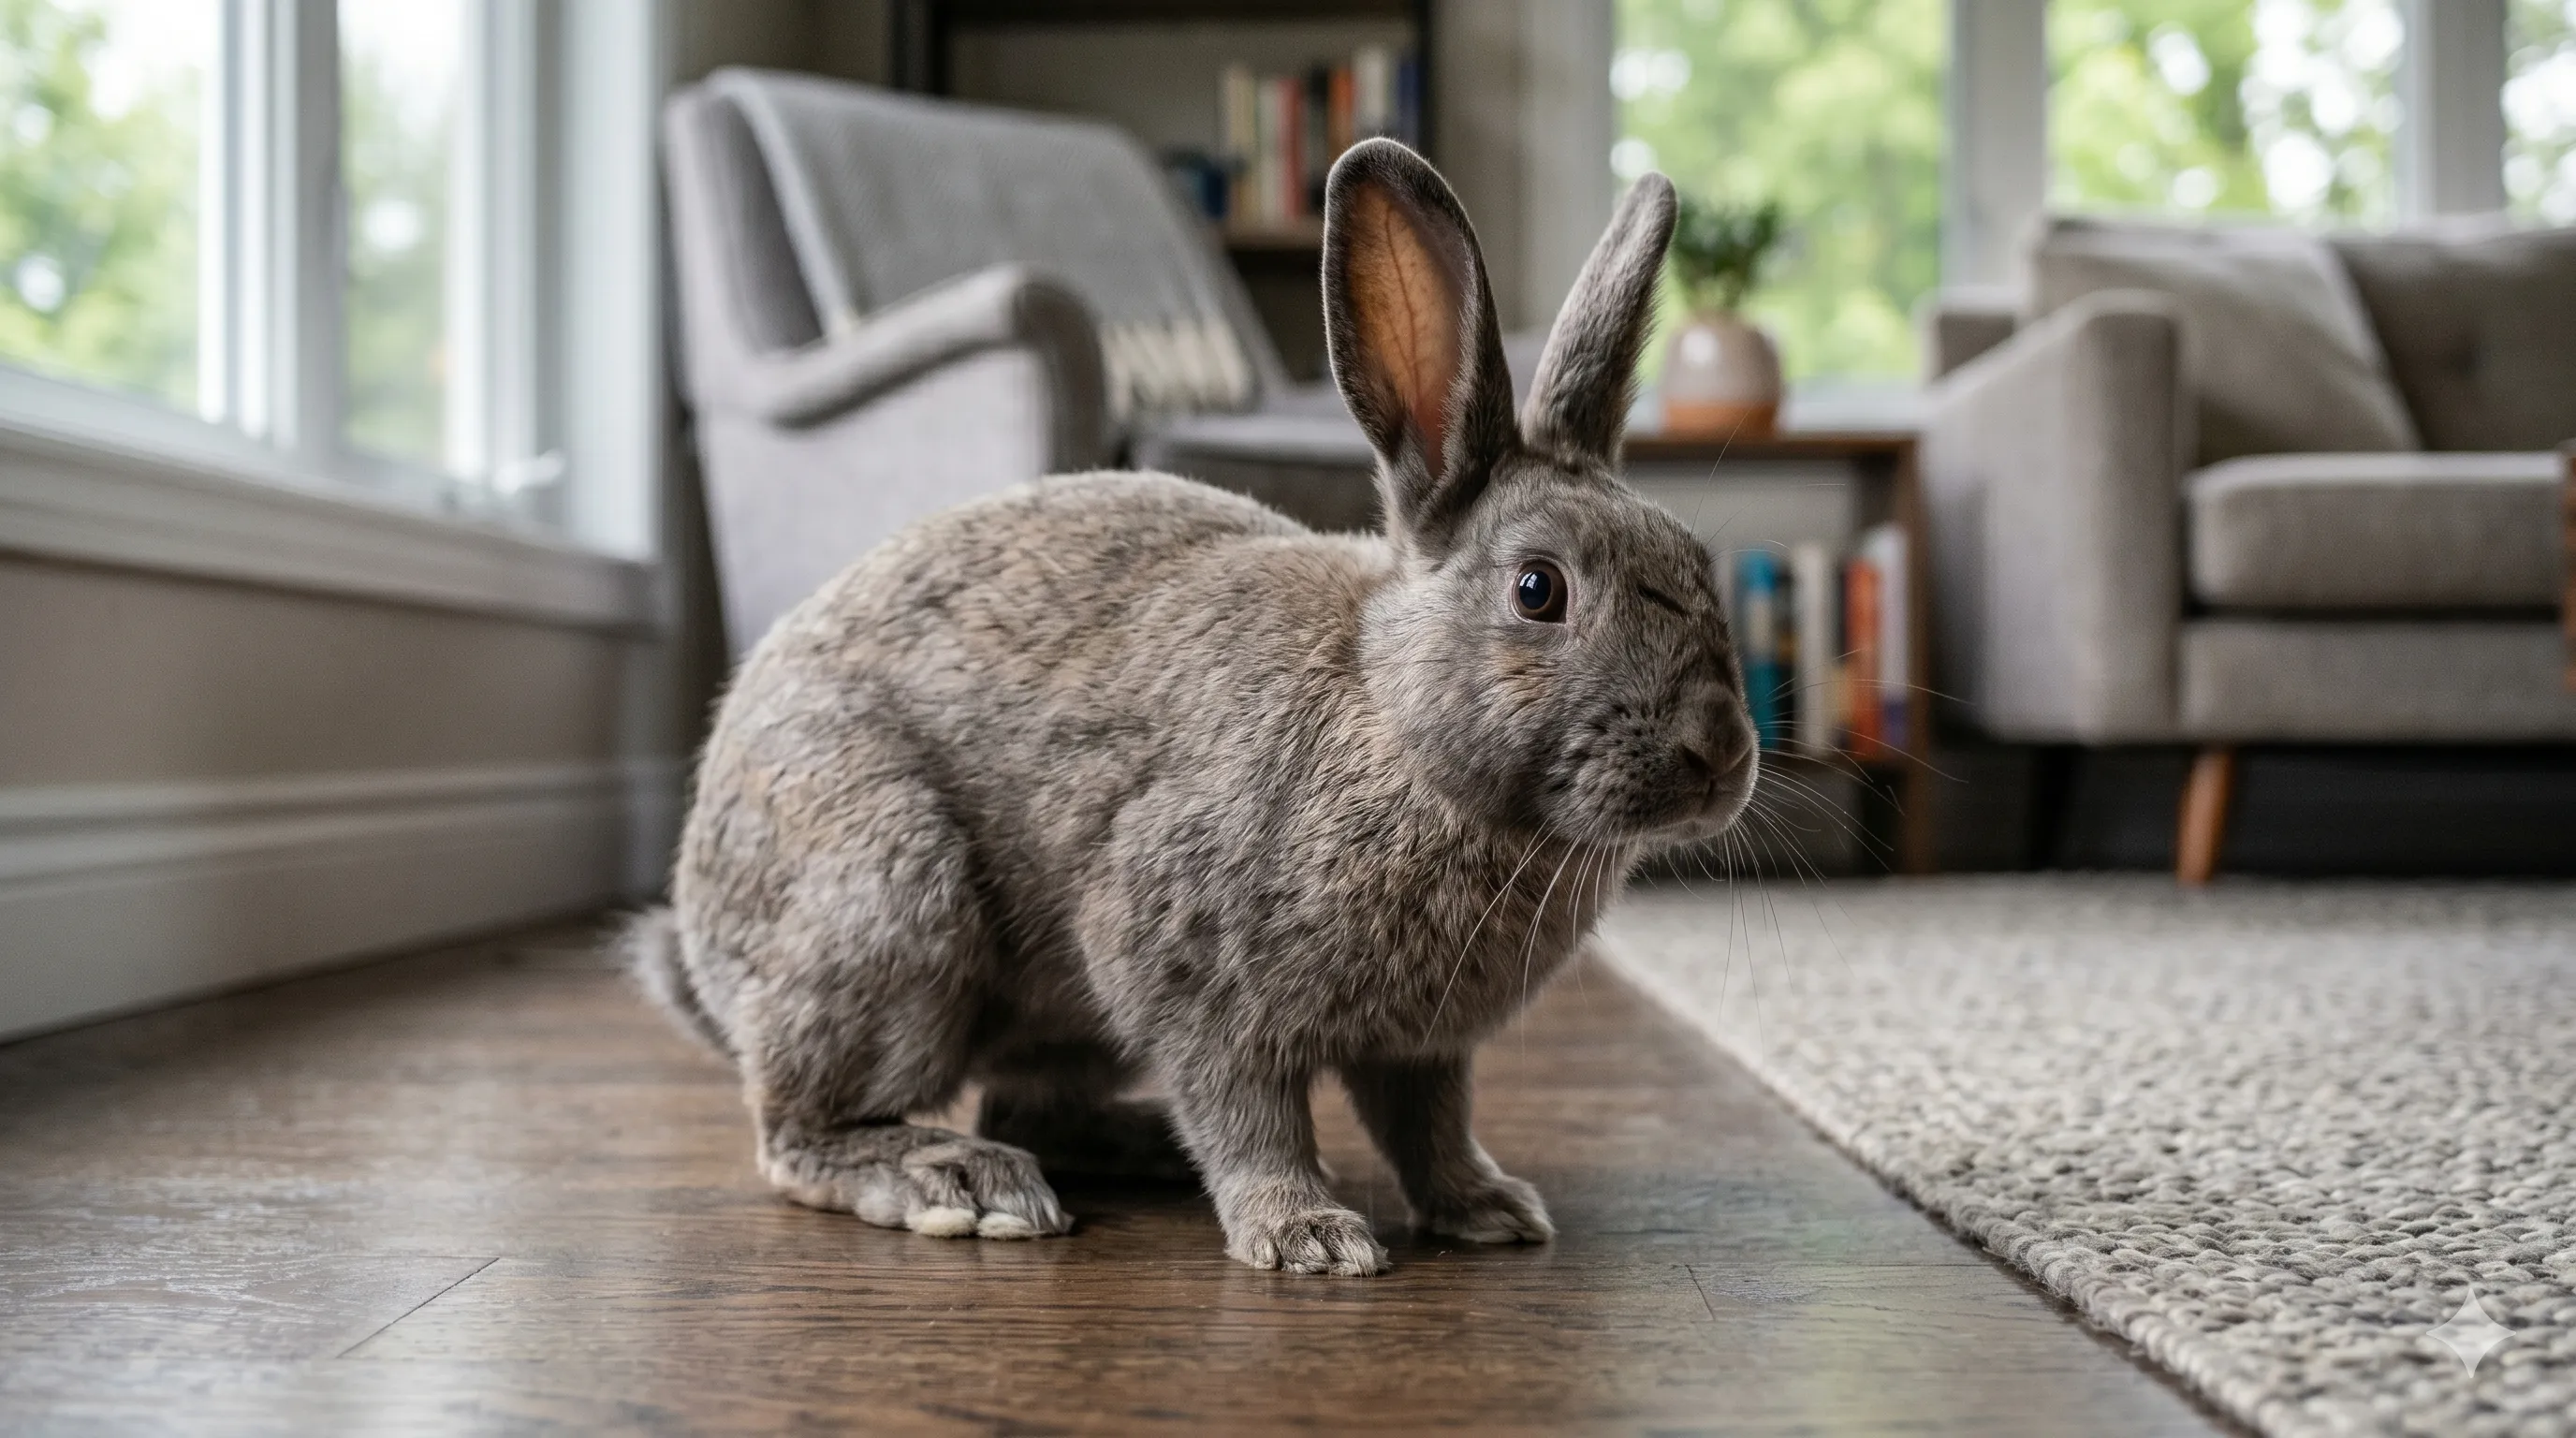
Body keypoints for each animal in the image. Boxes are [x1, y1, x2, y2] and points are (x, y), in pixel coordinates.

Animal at [625, 139, 1758, 1276]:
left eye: (1696, 565)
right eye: (1537, 590)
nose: (1719, 754)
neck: (1392, 724)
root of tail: (706, 951)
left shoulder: (1423, 1048)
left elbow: (1430, 1126)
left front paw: (1488, 1210)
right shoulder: (1190, 977)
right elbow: (1248, 1113)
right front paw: (1307, 1237)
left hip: (1050, 1015)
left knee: (1028, 1107)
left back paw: (1135, 1152)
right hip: (892, 905)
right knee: (802, 1128)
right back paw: (956, 1181)